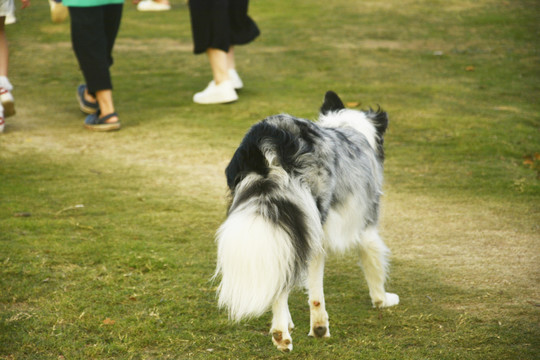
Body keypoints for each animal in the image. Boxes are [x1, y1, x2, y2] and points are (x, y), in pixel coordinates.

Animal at [214, 90, 396, 352]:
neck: (347, 128)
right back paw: (294, 332)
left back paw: (283, 326)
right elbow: (371, 265)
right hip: (311, 220)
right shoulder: (366, 224)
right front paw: (382, 300)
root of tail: (268, 136)